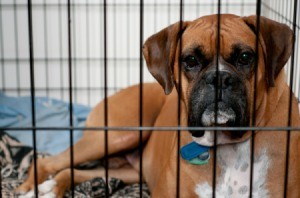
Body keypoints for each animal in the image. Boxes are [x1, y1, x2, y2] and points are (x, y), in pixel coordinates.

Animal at [16, 14, 300, 198]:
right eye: (190, 60)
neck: (228, 146)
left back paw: (52, 187)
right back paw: (34, 188)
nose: (218, 78)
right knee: (47, 162)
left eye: (245, 57)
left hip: (130, 170)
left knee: (74, 170)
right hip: (118, 135)